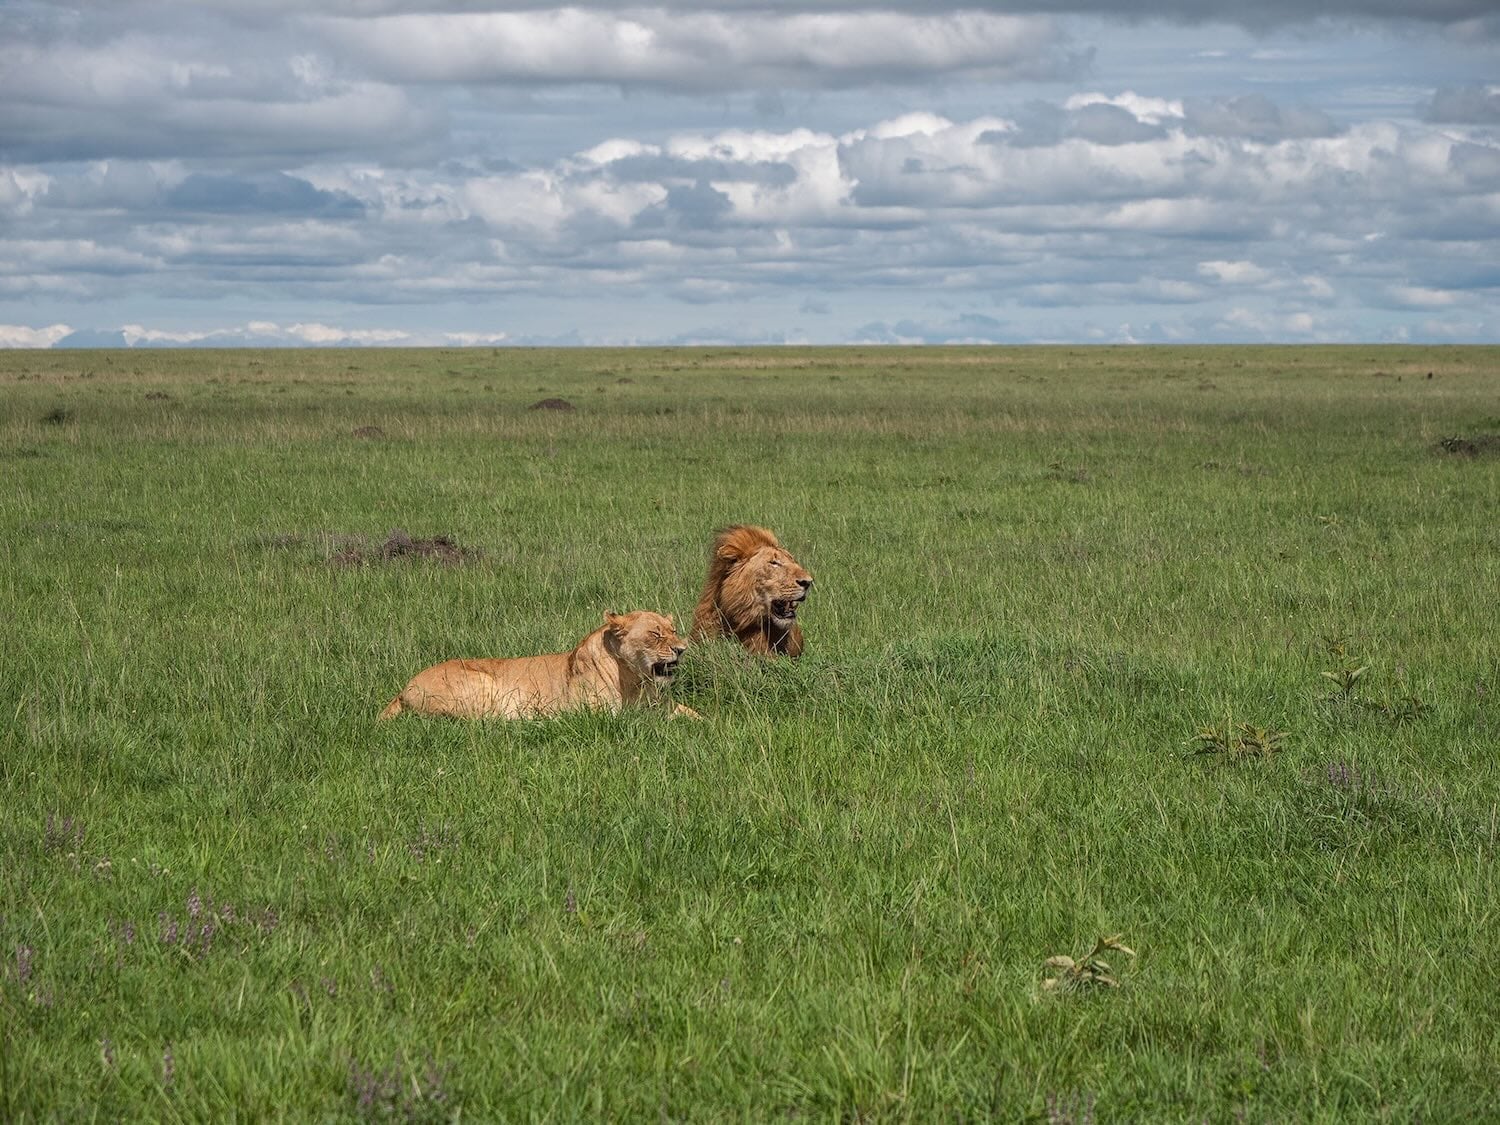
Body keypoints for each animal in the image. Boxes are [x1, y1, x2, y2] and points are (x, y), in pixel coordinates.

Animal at [378, 611, 701, 720]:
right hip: (482, 682)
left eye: (673, 630)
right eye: (656, 634)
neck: (635, 680)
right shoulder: (600, 714)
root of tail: (403, 689)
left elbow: (696, 716)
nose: (682, 649)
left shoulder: (664, 705)